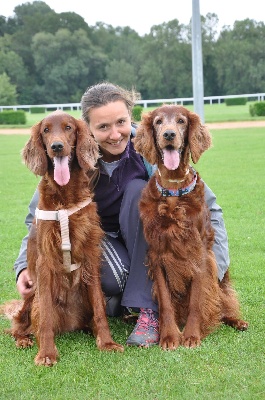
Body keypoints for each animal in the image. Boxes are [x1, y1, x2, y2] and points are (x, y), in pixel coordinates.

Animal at [134, 104, 248, 348]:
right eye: (158, 121)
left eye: (181, 121)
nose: (169, 135)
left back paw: (237, 321)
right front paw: (169, 336)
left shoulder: (199, 253)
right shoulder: (157, 255)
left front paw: (192, 335)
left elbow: (198, 299)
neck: (173, 190)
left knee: (222, 303)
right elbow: (165, 301)